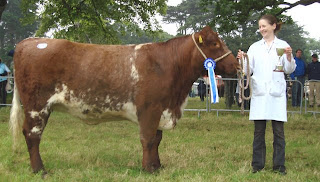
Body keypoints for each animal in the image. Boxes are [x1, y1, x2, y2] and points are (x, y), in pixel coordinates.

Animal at [9, 26, 240, 175]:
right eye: (214, 43)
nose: (236, 65)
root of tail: (30, 41)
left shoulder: (161, 109)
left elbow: (157, 139)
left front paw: (158, 166)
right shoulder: (149, 108)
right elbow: (148, 139)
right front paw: (147, 169)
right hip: (37, 106)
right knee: (32, 135)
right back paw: (40, 170)